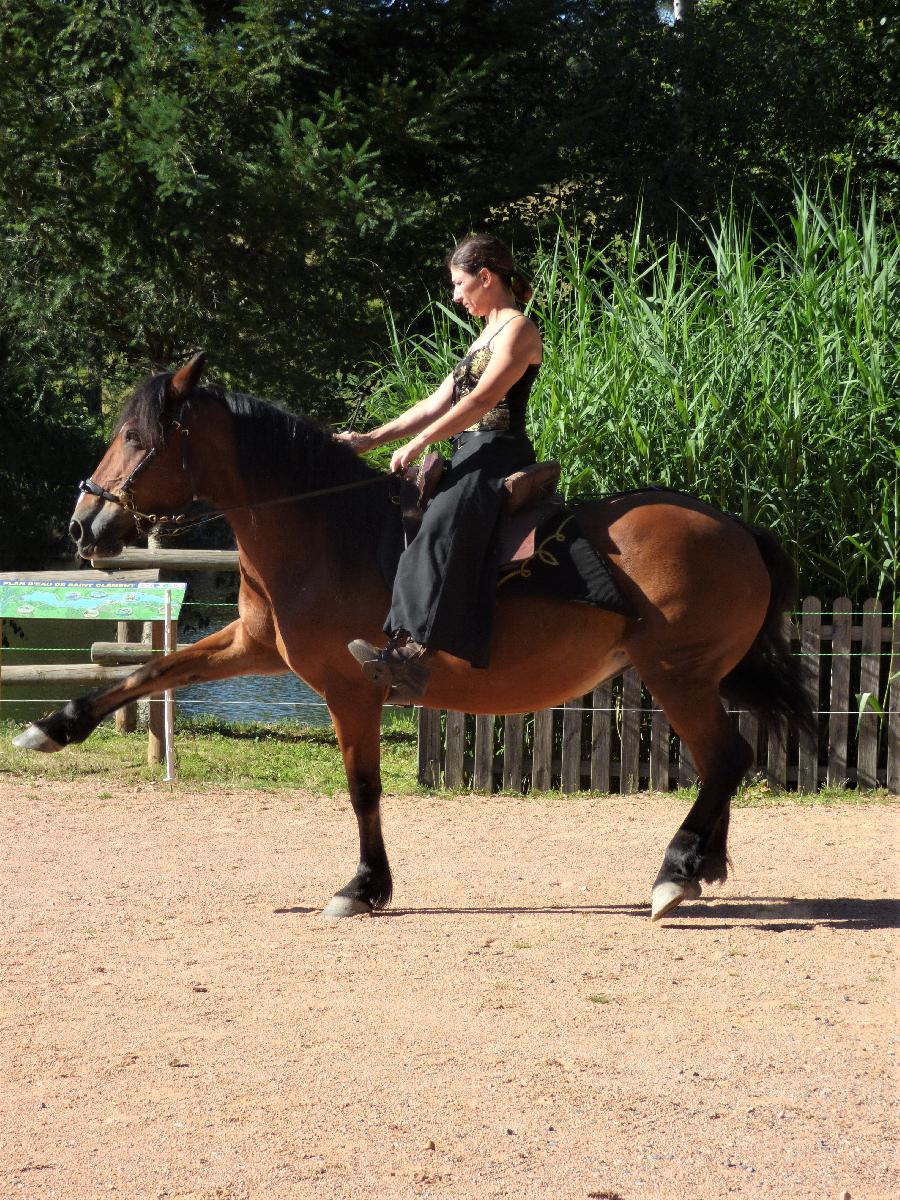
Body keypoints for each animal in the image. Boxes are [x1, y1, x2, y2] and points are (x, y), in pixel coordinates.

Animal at [13, 354, 814, 921]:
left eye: (136, 439)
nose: (82, 526)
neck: (324, 529)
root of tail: (738, 529)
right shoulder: (252, 645)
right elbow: (151, 672)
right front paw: (53, 727)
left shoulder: (348, 688)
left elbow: (362, 787)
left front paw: (364, 886)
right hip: (690, 677)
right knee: (725, 761)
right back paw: (702, 865)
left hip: (676, 675)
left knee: (726, 757)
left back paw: (676, 872)